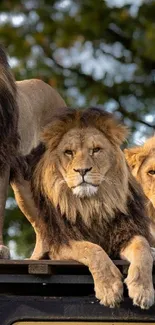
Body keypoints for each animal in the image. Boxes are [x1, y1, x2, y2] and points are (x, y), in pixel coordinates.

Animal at [12, 107, 154, 308]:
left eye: (96, 150)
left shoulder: (124, 233)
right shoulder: (62, 242)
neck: (91, 205)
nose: (82, 170)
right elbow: (91, 249)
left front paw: (142, 290)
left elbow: (142, 247)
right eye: (69, 152)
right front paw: (109, 288)